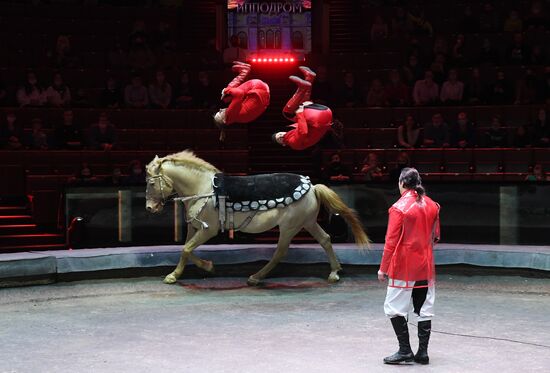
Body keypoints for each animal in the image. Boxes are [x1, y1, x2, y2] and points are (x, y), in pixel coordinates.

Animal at [147, 150, 370, 284]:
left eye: (151, 183)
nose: (150, 208)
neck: (203, 189)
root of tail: (312, 187)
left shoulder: (208, 229)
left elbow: (186, 249)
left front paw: (173, 276)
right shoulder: (194, 227)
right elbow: (186, 249)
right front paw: (206, 266)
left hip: (290, 227)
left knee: (280, 252)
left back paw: (256, 277)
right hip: (308, 222)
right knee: (325, 239)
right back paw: (334, 271)